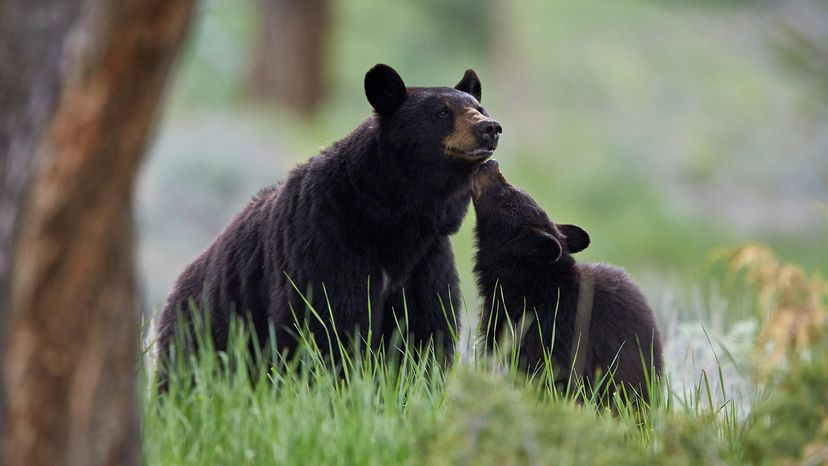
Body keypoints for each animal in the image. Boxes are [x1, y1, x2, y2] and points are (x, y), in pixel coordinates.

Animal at [156, 64, 502, 385]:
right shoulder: (326, 239)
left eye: (479, 108)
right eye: (442, 112)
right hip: (204, 332)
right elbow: (329, 321)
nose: (490, 127)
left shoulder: (427, 259)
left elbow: (424, 329)